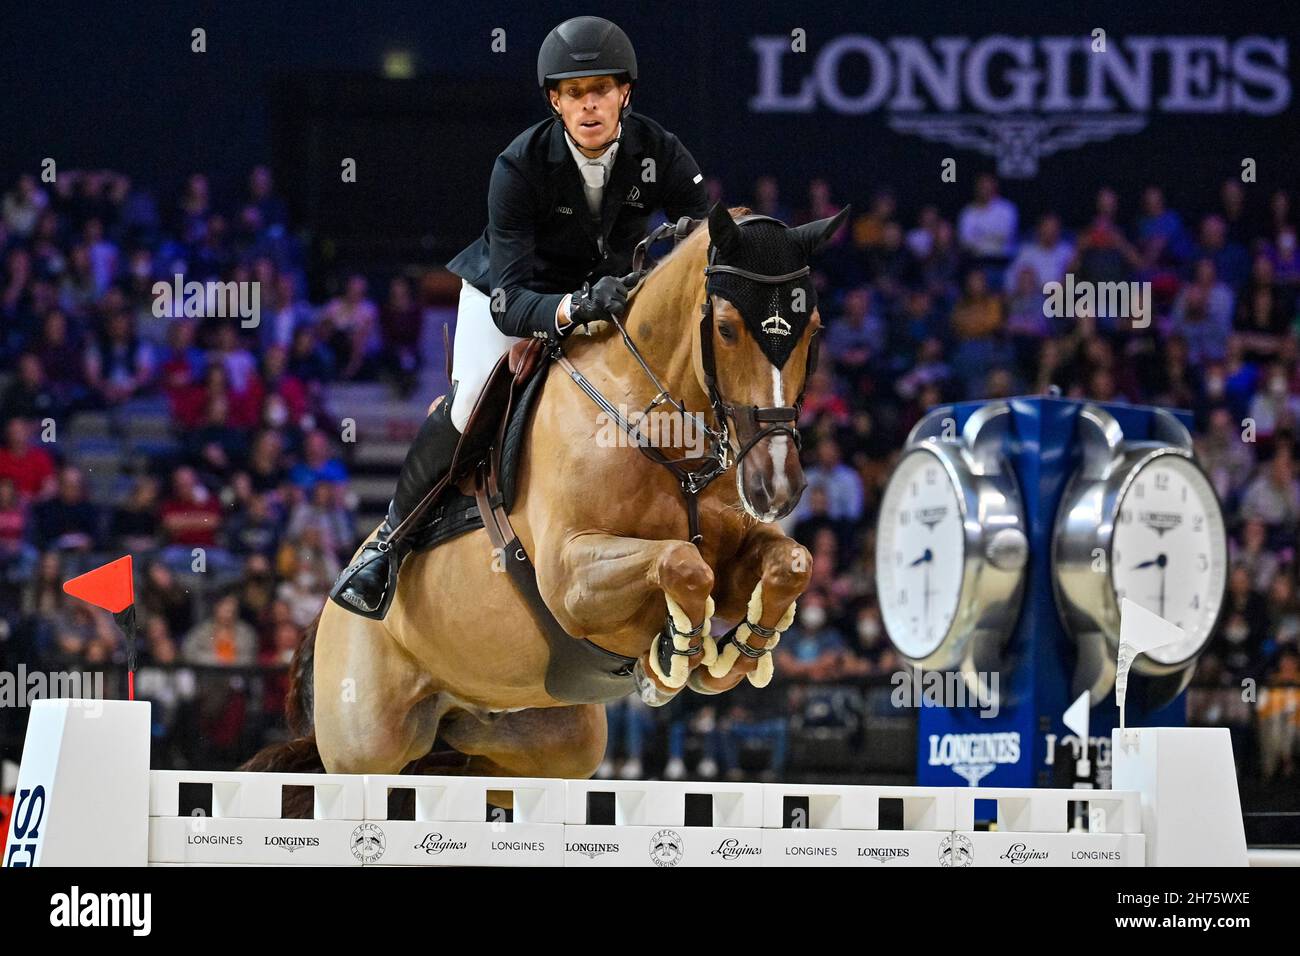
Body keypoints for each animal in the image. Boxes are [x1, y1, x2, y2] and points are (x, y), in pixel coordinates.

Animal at [246, 204, 847, 785]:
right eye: (725, 329)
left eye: (814, 329)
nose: (777, 486)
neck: (654, 424)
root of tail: (326, 615)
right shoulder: (570, 577)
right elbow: (682, 563)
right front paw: (673, 656)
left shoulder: (731, 553)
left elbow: (790, 563)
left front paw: (742, 651)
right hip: (366, 747)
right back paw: (370, 574)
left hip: (544, 743)